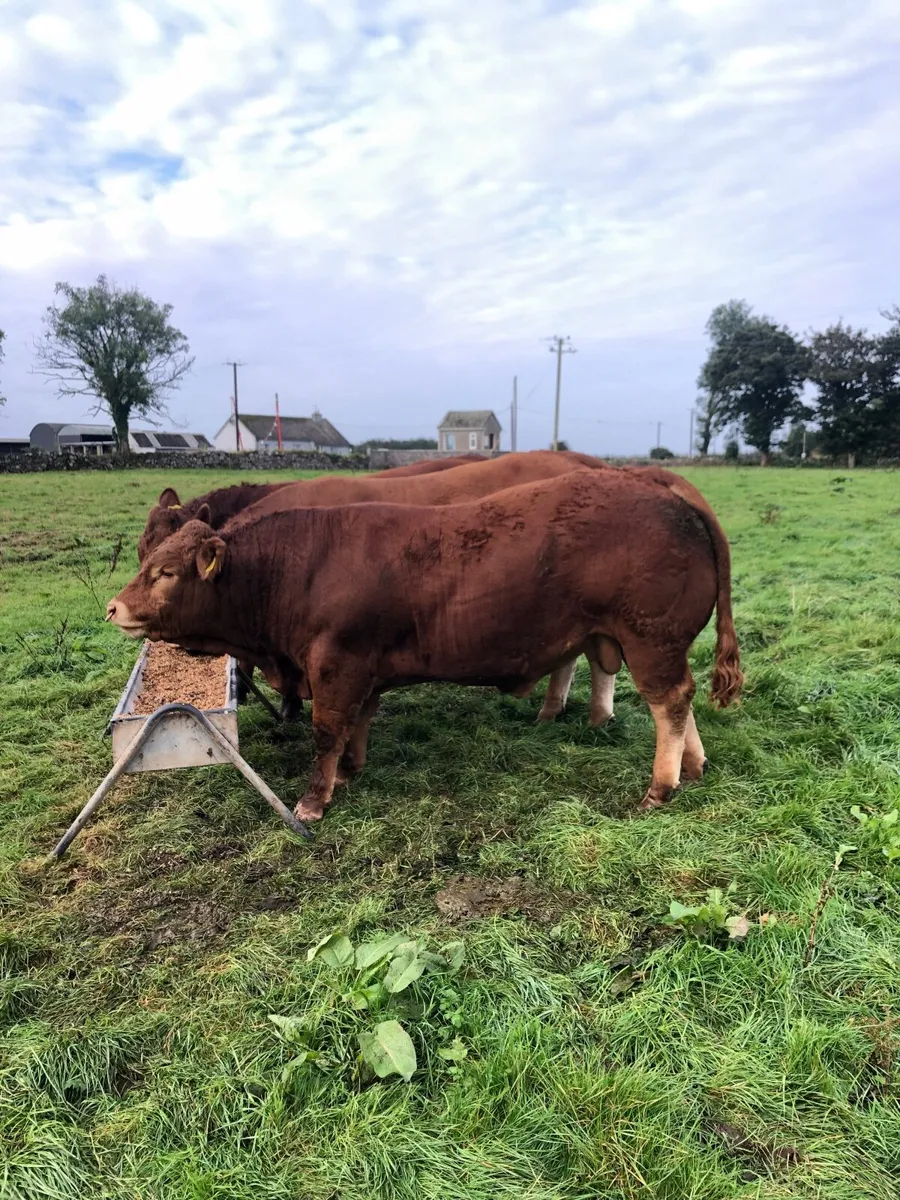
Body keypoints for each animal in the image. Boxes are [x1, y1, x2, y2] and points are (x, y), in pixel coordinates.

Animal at [107, 469, 742, 824]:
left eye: (165, 571)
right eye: (144, 557)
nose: (114, 607)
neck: (293, 569)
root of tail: (673, 495)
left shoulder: (335, 663)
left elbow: (327, 731)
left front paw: (314, 799)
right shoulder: (360, 668)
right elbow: (357, 724)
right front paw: (350, 772)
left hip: (649, 637)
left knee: (669, 701)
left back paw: (660, 786)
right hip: (642, 641)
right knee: (679, 699)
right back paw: (693, 766)